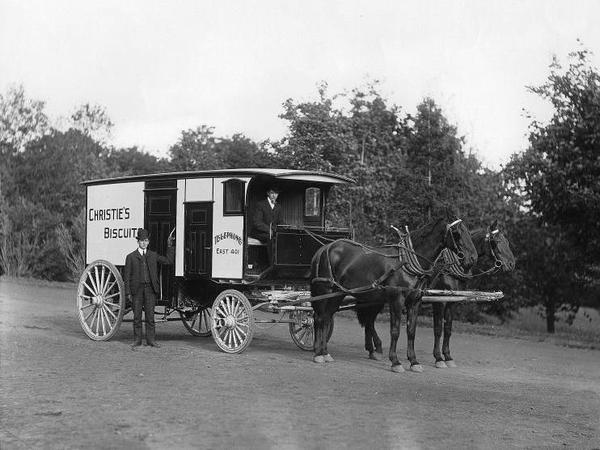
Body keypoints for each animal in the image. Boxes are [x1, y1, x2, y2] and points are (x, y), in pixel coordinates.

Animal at [312, 211, 476, 372]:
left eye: (468, 231)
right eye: (456, 232)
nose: (472, 258)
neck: (406, 264)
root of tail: (326, 248)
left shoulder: (416, 301)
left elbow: (412, 331)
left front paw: (414, 361)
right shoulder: (399, 299)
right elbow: (397, 331)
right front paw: (396, 361)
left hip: (342, 294)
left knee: (329, 317)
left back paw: (326, 352)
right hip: (326, 290)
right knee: (320, 318)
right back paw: (318, 353)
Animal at [432, 220, 516, 368]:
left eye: (507, 241)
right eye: (497, 241)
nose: (511, 264)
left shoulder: (452, 302)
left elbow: (448, 329)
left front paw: (448, 357)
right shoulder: (439, 301)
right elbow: (438, 329)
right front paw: (438, 358)